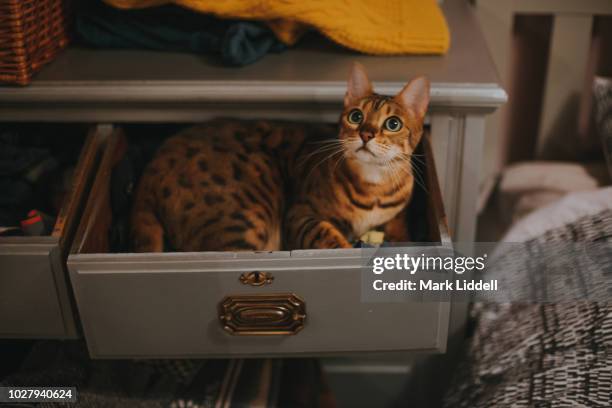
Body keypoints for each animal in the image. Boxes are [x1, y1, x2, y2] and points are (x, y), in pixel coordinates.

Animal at [131, 62, 430, 252]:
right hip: (245, 217)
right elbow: (326, 234)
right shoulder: (300, 215)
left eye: (393, 124)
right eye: (356, 116)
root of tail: (149, 172)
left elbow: (399, 228)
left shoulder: (397, 214)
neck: (375, 187)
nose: (366, 134)